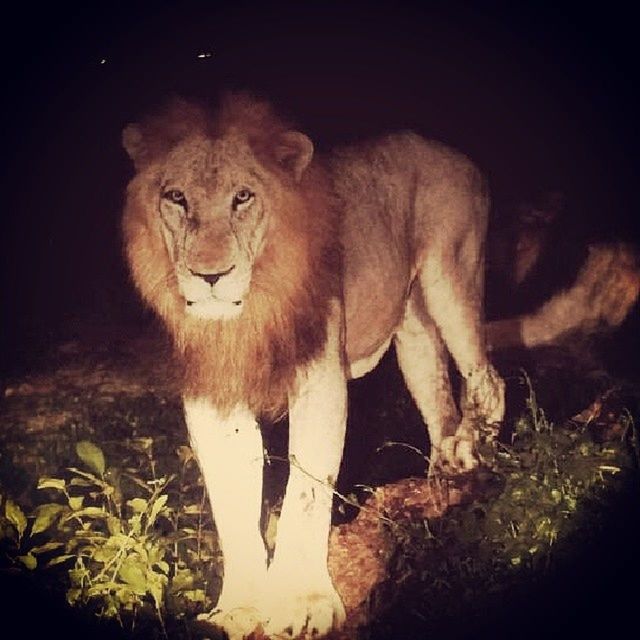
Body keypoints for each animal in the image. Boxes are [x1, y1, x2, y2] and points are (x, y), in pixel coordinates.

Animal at [121, 92, 504, 636]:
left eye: (243, 197)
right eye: (176, 197)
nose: (210, 275)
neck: (246, 314)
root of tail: (455, 153)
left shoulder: (318, 378)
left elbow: (306, 490)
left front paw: (303, 603)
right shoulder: (213, 399)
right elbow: (232, 505)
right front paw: (238, 607)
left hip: (451, 277)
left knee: (486, 378)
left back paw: (475, 460)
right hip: (411, 325)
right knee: (438, 398)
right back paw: (437, 485)